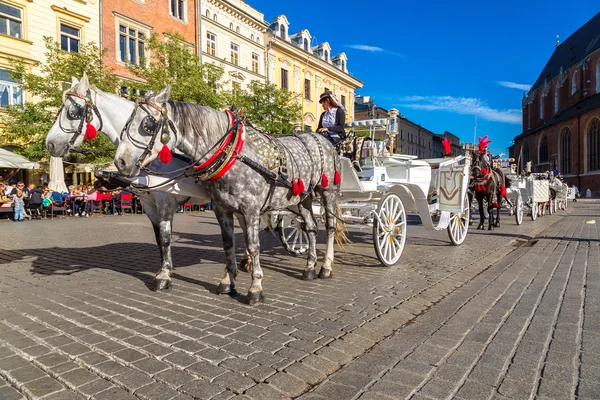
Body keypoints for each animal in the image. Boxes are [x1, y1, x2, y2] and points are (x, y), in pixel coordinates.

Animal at [115, 83, 340, 304]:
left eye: (148, 124)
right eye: (126, 123)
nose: (120, 162)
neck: (232, 152)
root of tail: (320, 137)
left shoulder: (251, 210)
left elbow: (253, 246)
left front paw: (255, 287)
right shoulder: (221, 208)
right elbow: (228, 243)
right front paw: (227, 281)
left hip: (327, 191)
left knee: (330, 226)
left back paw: (326, 267)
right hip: (304, 197)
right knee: (310, 227)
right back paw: (309, 267)